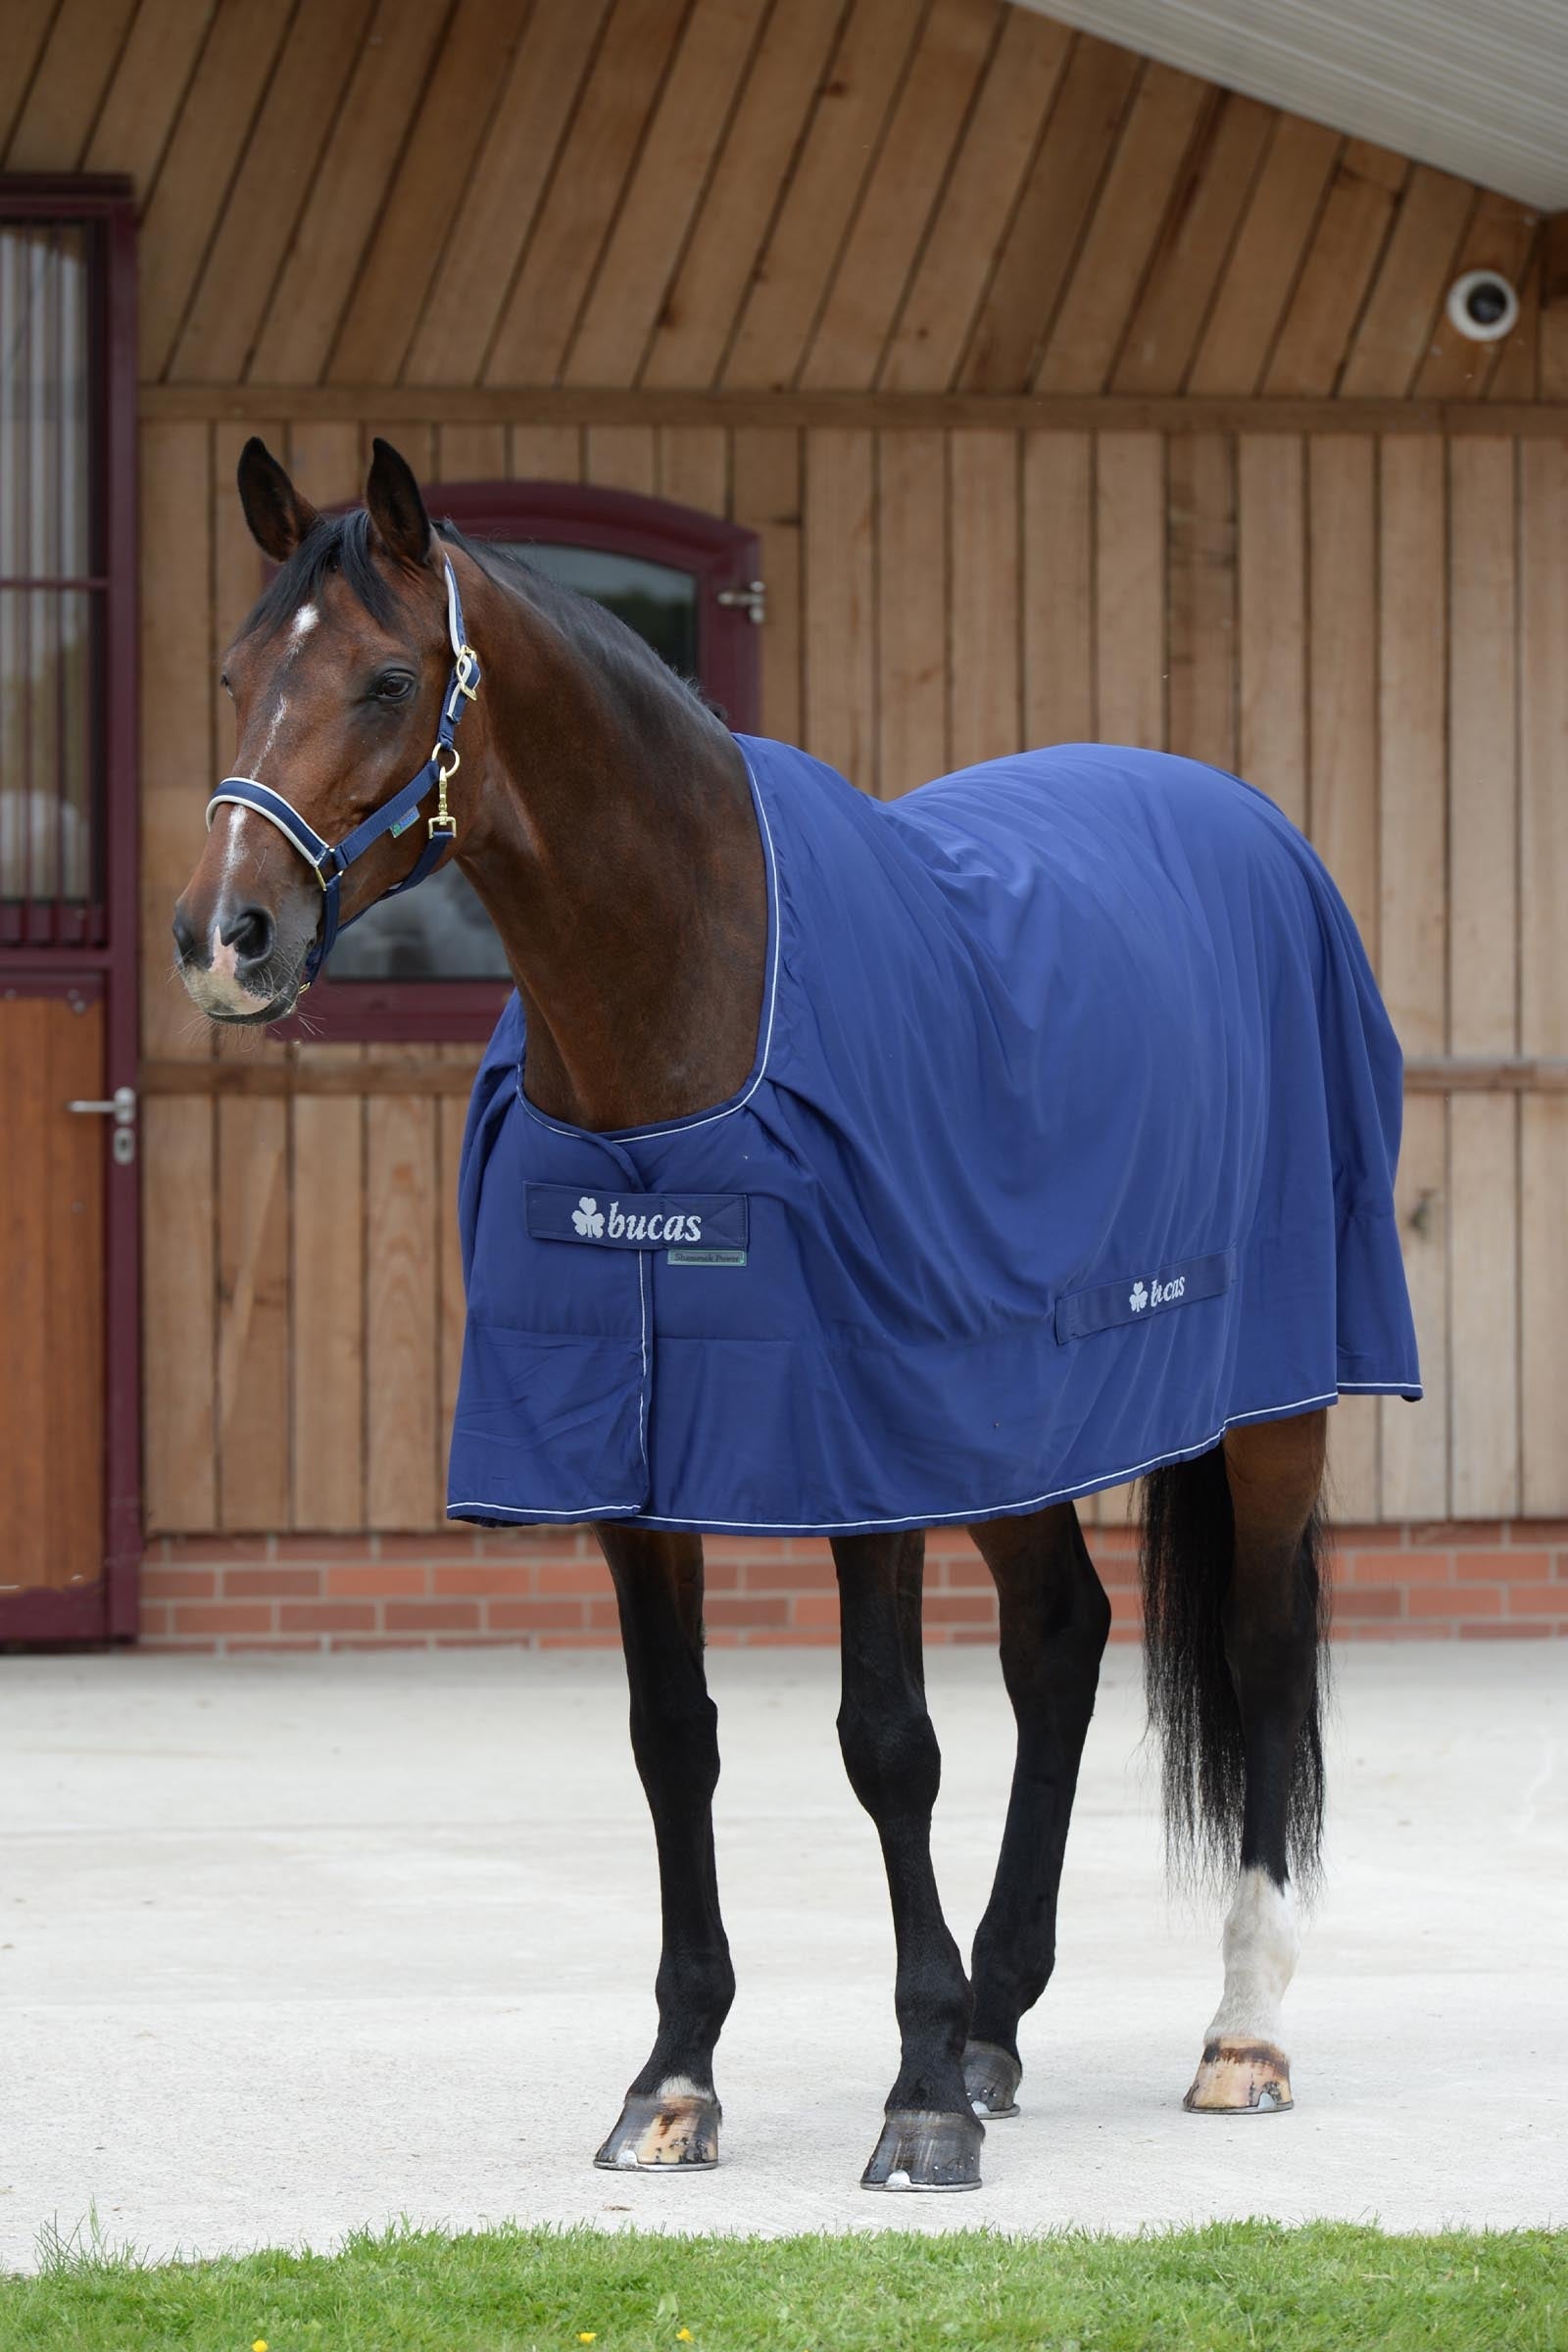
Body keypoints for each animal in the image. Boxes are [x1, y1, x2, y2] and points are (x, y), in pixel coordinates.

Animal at [172, 437, 1420, 2193]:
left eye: (388, 679)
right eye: (233, 674)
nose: (226, 939)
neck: (687, 1029)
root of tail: (1248, 823)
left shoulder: (856, 1445)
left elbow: (887, 1741)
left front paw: (917, 2103)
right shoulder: (633, 1464)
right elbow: (671, 1742)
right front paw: (679, 2079)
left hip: (1273, 1407)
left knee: (1252, 1655)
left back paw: (1237, 2036)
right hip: (1012, 1424)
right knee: (1061, 1641)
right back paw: (1000, 2017)